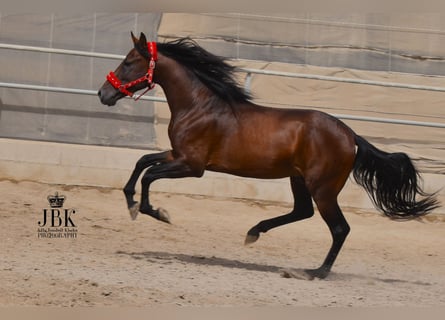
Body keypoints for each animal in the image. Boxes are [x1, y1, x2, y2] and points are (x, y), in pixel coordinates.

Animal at [98, 31, 438, 278]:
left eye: (128, 62)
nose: (103, 94)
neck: (199, 105)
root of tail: (351, 136)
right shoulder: (176, 154)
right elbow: (142, 163)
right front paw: (131, 203)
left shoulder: (192, 166)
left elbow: (149, 175)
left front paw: (156, 212)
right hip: (299, 180)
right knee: (303, 211)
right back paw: (253, 233)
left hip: (323, 189)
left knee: (339, 228)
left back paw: (314, 272)